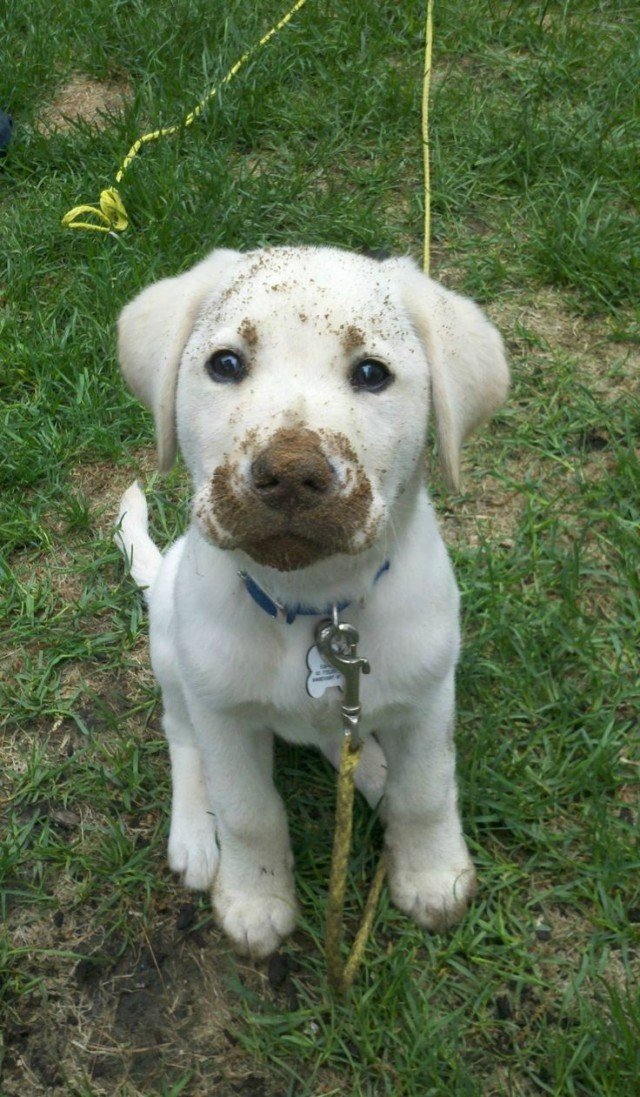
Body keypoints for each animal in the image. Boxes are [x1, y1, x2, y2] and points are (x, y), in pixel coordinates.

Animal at [114, 244, 504, 956]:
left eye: (373, 373)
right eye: (226, 364)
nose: (292, 473)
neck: (316, 608)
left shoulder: (430, 695)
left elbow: (427, 792)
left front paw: (433, 877)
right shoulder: (224, 713)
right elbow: (247, 812)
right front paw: (254, 900)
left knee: (343, 741)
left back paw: (371, 771)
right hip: (172, 653)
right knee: (181, 735)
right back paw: (195, 834)